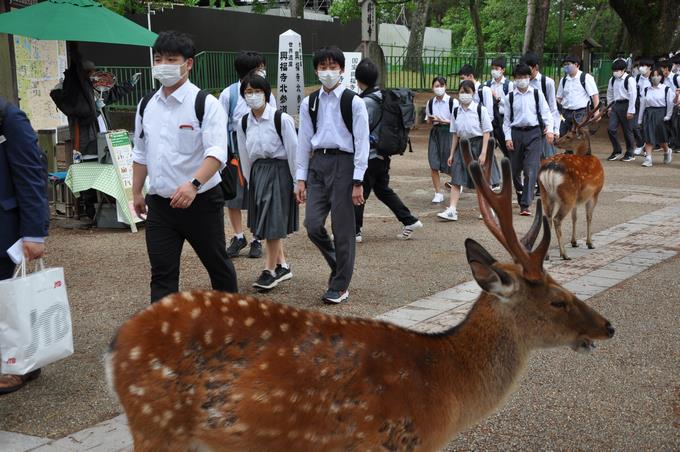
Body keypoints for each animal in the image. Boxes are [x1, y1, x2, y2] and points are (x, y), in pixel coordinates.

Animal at [536, 107, 604, 260]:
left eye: (567, 136)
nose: (555, 141)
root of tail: (550, 168)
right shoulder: (595, 193)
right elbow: (589, 216)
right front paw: (590, 243)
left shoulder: (577, 198)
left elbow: (575, 217)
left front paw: (574, 242)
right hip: (567, 194)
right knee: (557, 219)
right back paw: (564, 254)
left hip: (546, 193)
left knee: (548, 218)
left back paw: (547, 254)